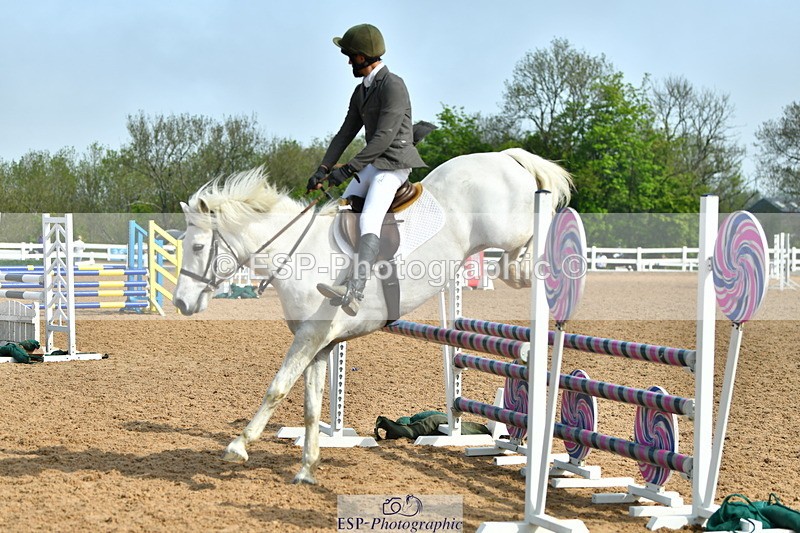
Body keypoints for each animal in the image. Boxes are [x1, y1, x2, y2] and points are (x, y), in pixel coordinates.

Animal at [173, 148, 572, 484]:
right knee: (515, 269)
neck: (295, 253)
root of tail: (506, 156)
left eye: (198, 246)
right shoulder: (318, 344)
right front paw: (307, 468)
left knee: (528, 251)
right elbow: (312, 407)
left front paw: (238, 446)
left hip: (511, 231)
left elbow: (277, 389)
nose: (180, 302)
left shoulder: (309, 337)